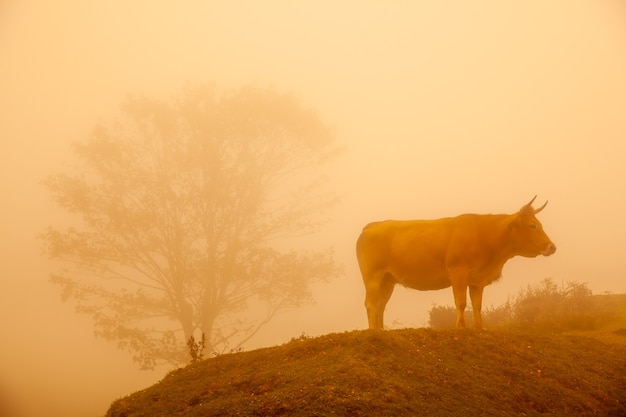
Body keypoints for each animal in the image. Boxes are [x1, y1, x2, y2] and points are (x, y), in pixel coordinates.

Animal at [356, 197, 556, 330]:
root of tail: (372, 226)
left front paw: (480, 328)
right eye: (532, 226)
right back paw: (373, 332)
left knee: (380, 306)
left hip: (387, 280)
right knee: (370, 304)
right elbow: (461, 302)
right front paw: (460, 327)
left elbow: (477, 304)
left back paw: (381, 331)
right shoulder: (458, 271)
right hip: (372, 276)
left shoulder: (477, 280)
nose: (552, 247)